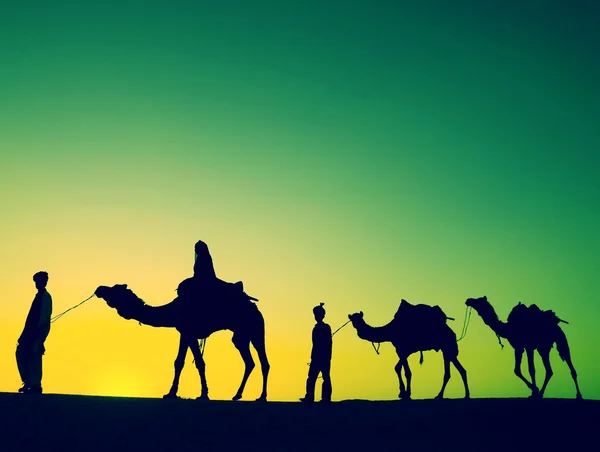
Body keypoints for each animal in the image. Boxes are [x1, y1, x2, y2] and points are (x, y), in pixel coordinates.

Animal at [94, 280, 270, 400]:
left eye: (115, 289)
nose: (99, 288)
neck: (173, 311)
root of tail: (254, 307)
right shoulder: (185, 333)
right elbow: (184, 362)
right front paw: (178, 393)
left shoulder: (188, 332)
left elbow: (193, 362)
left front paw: (198, 394)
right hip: (241, 336)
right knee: (249, 361)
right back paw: (237, 395)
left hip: (256, 330)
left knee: (264, 362)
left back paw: (261, 397)